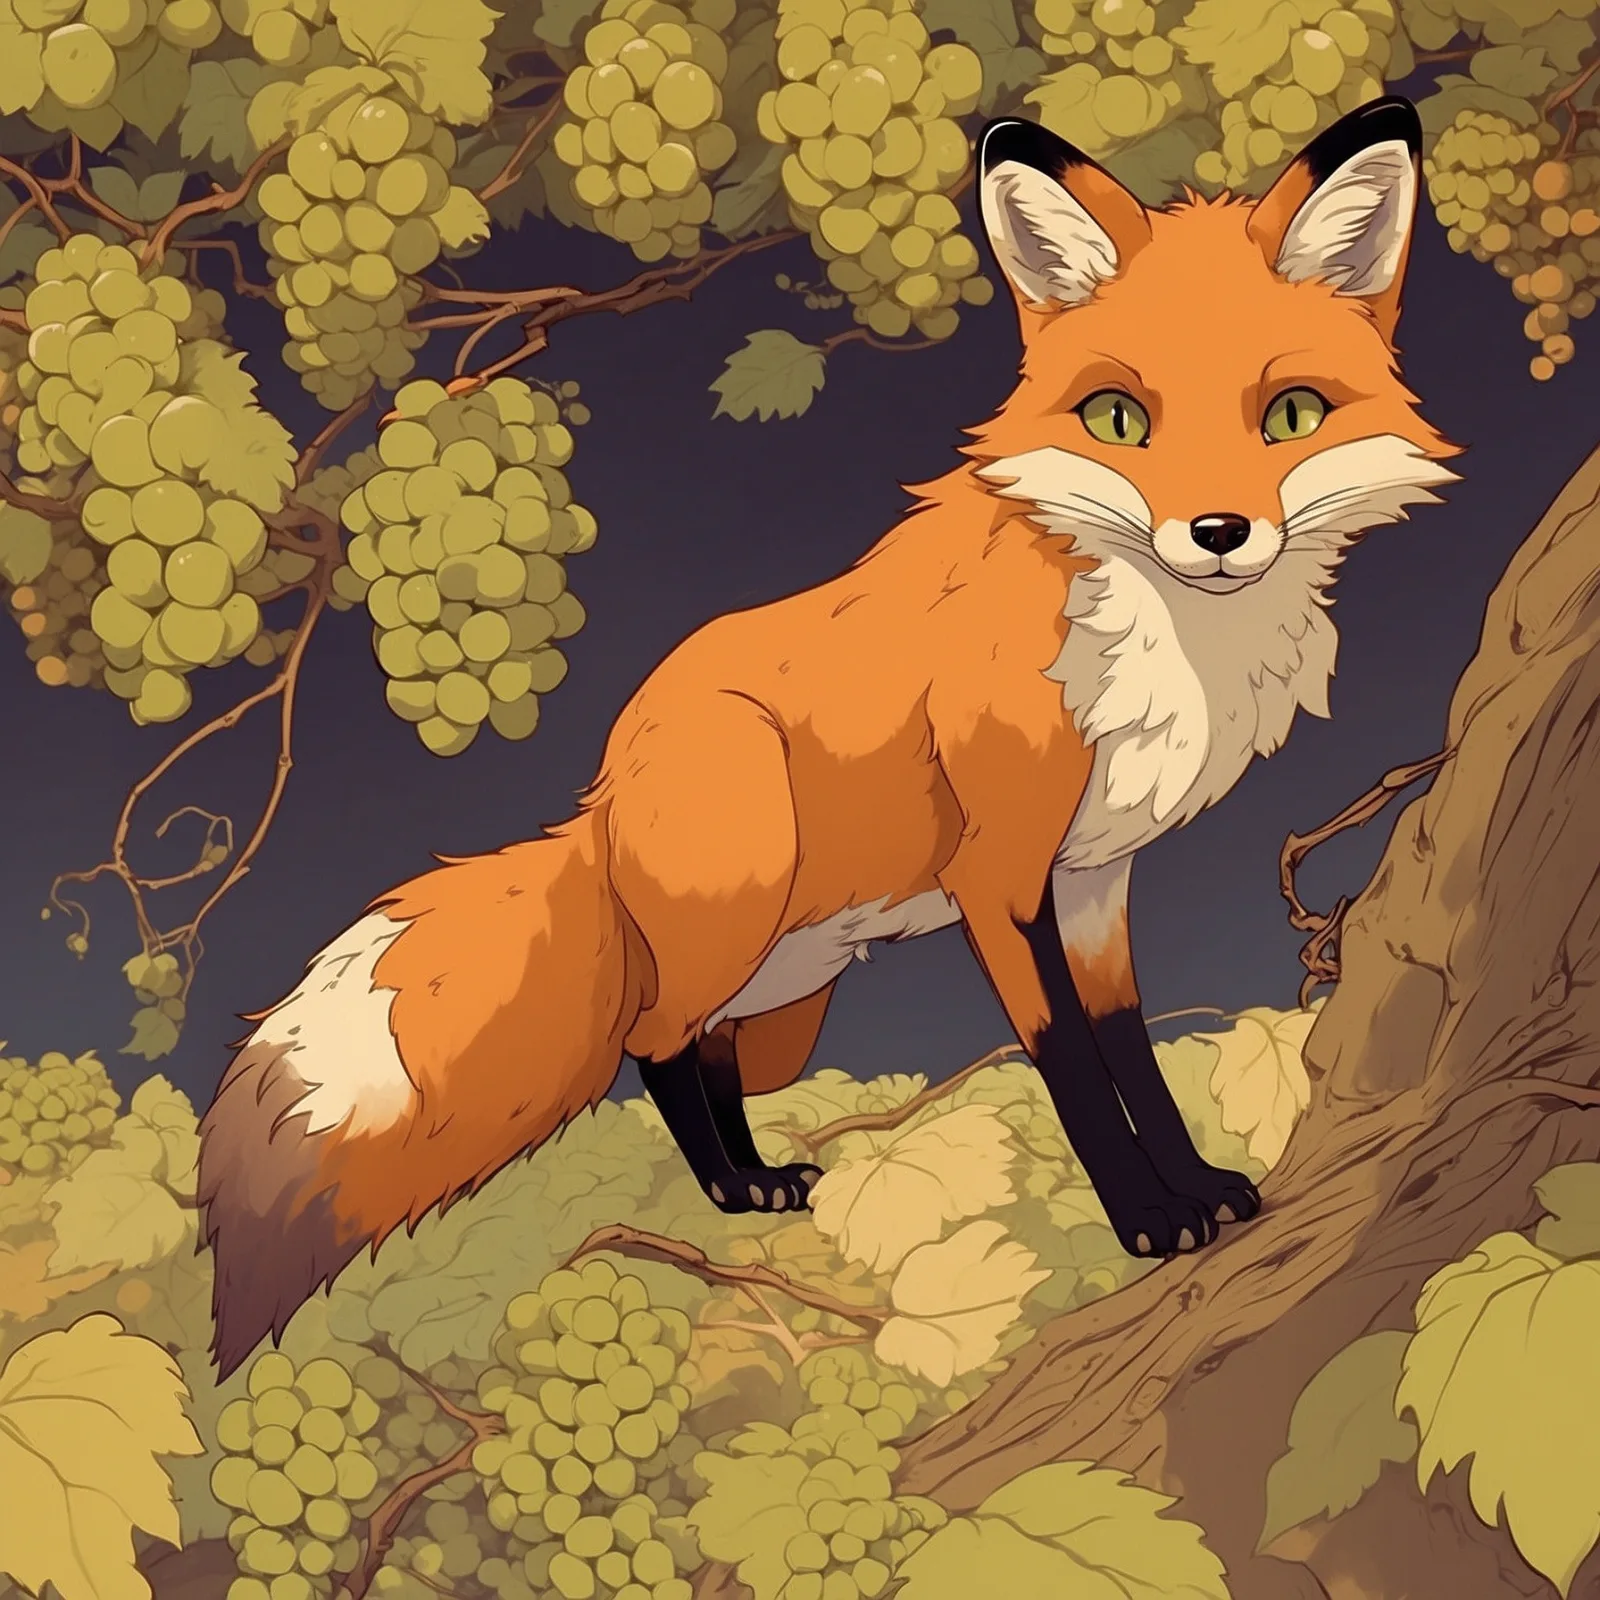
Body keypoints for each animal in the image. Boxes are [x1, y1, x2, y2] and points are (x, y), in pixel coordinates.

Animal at [197, 95, 1462, 1380]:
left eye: (1289, 416)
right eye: (1120, 420)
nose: (1216, 532)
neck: (1161, 646)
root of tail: (600, 793)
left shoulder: (1095, 878)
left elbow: (1132, 1053)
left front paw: (1200, 1186)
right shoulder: (1001, 877)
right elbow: (1068, 1060)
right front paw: (1148, 1221)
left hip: (795, 971)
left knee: (706, 1045)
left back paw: (753, 1177)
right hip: (746, 907)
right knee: (654, 1042)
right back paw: (726, 1188)